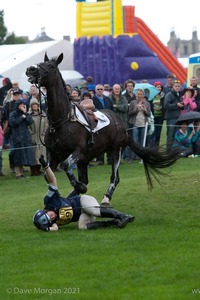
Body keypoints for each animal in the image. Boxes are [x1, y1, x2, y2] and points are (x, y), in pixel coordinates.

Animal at [25, 52, 180, 205]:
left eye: (50, 66)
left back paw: (105, 198)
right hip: (87, 158)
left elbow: (66, 165)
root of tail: (122, 124)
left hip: (115, 150)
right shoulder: (54, 154)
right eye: (41, 63)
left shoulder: (77, 151)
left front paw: (79, 188)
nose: (30, 69)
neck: (61, 121)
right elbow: (49, 175)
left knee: (114, 178)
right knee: (88, 179)